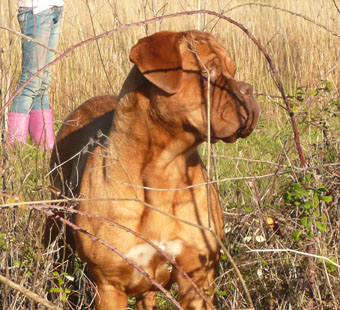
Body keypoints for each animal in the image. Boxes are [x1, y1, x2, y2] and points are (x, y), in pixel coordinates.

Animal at [47, 29, 258, 310]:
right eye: (208, 71)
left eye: (233, 71)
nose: (248, 90)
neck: (165, 169)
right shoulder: (108, 285)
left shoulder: (197, 279)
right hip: (55, 229)